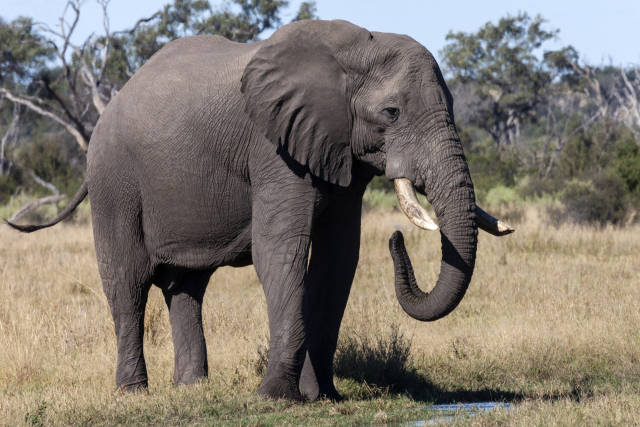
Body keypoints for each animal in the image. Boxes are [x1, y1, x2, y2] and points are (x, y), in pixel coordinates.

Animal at [7, 19, 512, 402]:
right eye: (391, 113)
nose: (397, 238)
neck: (352, 49)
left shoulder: (339, 153)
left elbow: (337, 261)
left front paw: (324, 397)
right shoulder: (273, 150)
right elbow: (280, 252)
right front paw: (277, 398)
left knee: (187, 286)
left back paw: (192, 390)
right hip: (115, 181)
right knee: (127, 281)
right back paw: (134, 393)